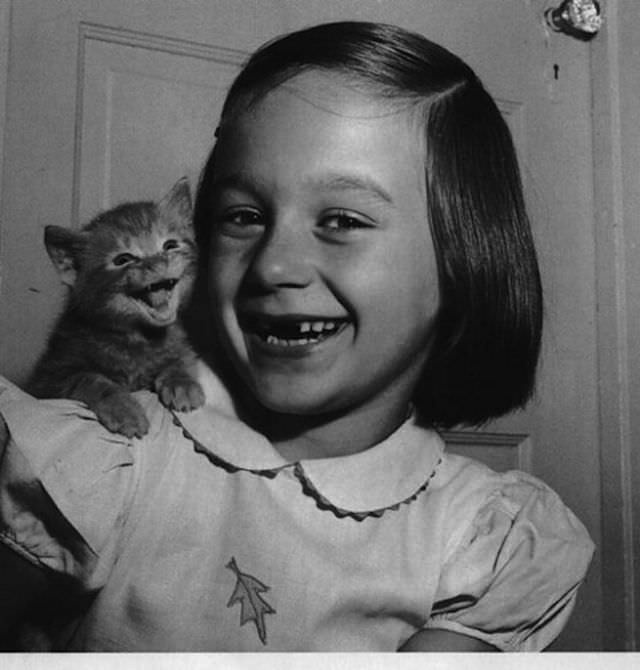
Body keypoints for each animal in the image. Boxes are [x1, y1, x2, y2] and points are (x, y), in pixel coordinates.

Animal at [26, 178, 202, 440]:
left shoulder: (179, 343)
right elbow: (89, 378)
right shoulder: (48, 378)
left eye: (170, 245)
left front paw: (181, 380)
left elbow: (180, 357)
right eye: (123, 260)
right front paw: (123, 408)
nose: (158, 263)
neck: (138, 338)